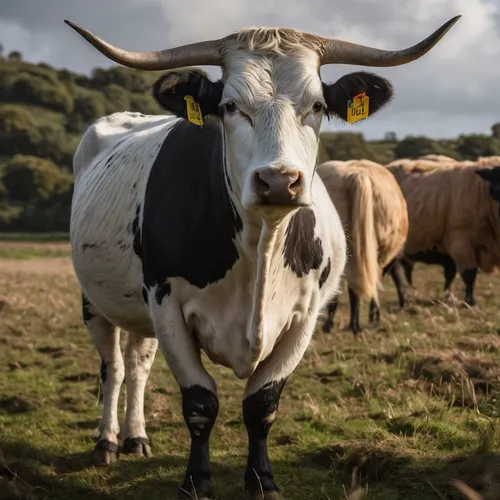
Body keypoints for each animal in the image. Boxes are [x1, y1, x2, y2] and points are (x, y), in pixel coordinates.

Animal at [65, 15, 460, 500]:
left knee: (138, 363)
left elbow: (262, 405)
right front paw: (196, 482)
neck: (261, 250)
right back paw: (107, 442)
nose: (278, 181)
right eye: (230, 106)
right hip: (96, 301)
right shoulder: (167, 304)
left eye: (317, 105)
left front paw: (262, 481)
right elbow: (200, 403)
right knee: (115, 368)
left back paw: (136, 437)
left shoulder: (304, 318)